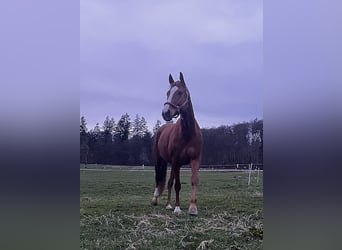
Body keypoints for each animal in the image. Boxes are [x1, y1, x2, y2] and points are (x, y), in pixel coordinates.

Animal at [151, 72, 202, 215]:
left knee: (169, 182)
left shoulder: (195, 159)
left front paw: (193, 207)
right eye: (168, 92)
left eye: (179, 92)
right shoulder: (176, 160)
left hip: (173, 164)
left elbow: (194, 181)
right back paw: (156, 199)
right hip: (161, 160)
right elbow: (177, 185)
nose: (166, 112)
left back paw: (168, 204)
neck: (188, 133)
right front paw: (178, 208)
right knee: (159, 178)